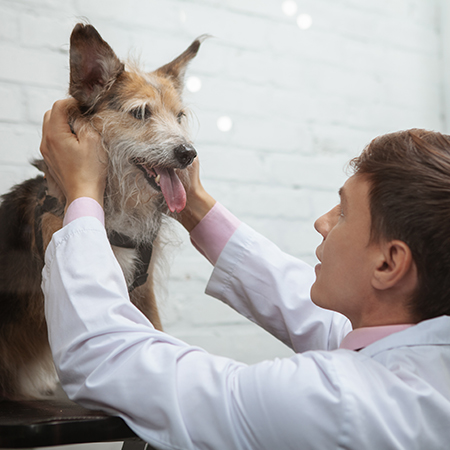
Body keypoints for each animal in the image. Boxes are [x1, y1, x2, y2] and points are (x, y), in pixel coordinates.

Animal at [0, 22, 204, 400]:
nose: (188, 153)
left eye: (179, 116)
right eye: (140, 113)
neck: (118, 207)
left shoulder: (142, 286)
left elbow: (155, 326)